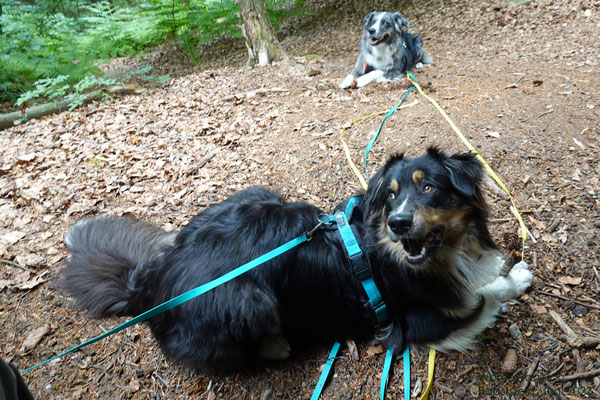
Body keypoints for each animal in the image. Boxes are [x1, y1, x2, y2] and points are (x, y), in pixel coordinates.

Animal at [59, 147, 528, 372]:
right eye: (392, 196)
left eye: (428, 187)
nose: (397, 223)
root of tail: (153, 280)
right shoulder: (422, 323)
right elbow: (481, 299)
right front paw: (515, 281)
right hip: (247, 299)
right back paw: (278, 345)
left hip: (255, 193)